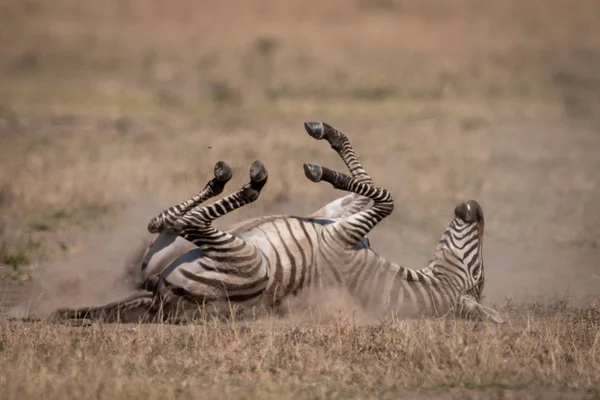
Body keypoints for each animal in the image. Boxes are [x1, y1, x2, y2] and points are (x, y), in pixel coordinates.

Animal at [51, 122, 504, 324]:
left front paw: (322, 165)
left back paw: (244, 183)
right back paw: (229, 182)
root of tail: (159, 301)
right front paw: (329, 141)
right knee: (164, 222)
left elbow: (386, 198)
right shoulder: (339, 220)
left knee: (189, 221)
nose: (476, 206)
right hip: (169, 253)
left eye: (477, 275)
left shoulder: (343, 235)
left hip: (249, 265)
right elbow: (372, 188)